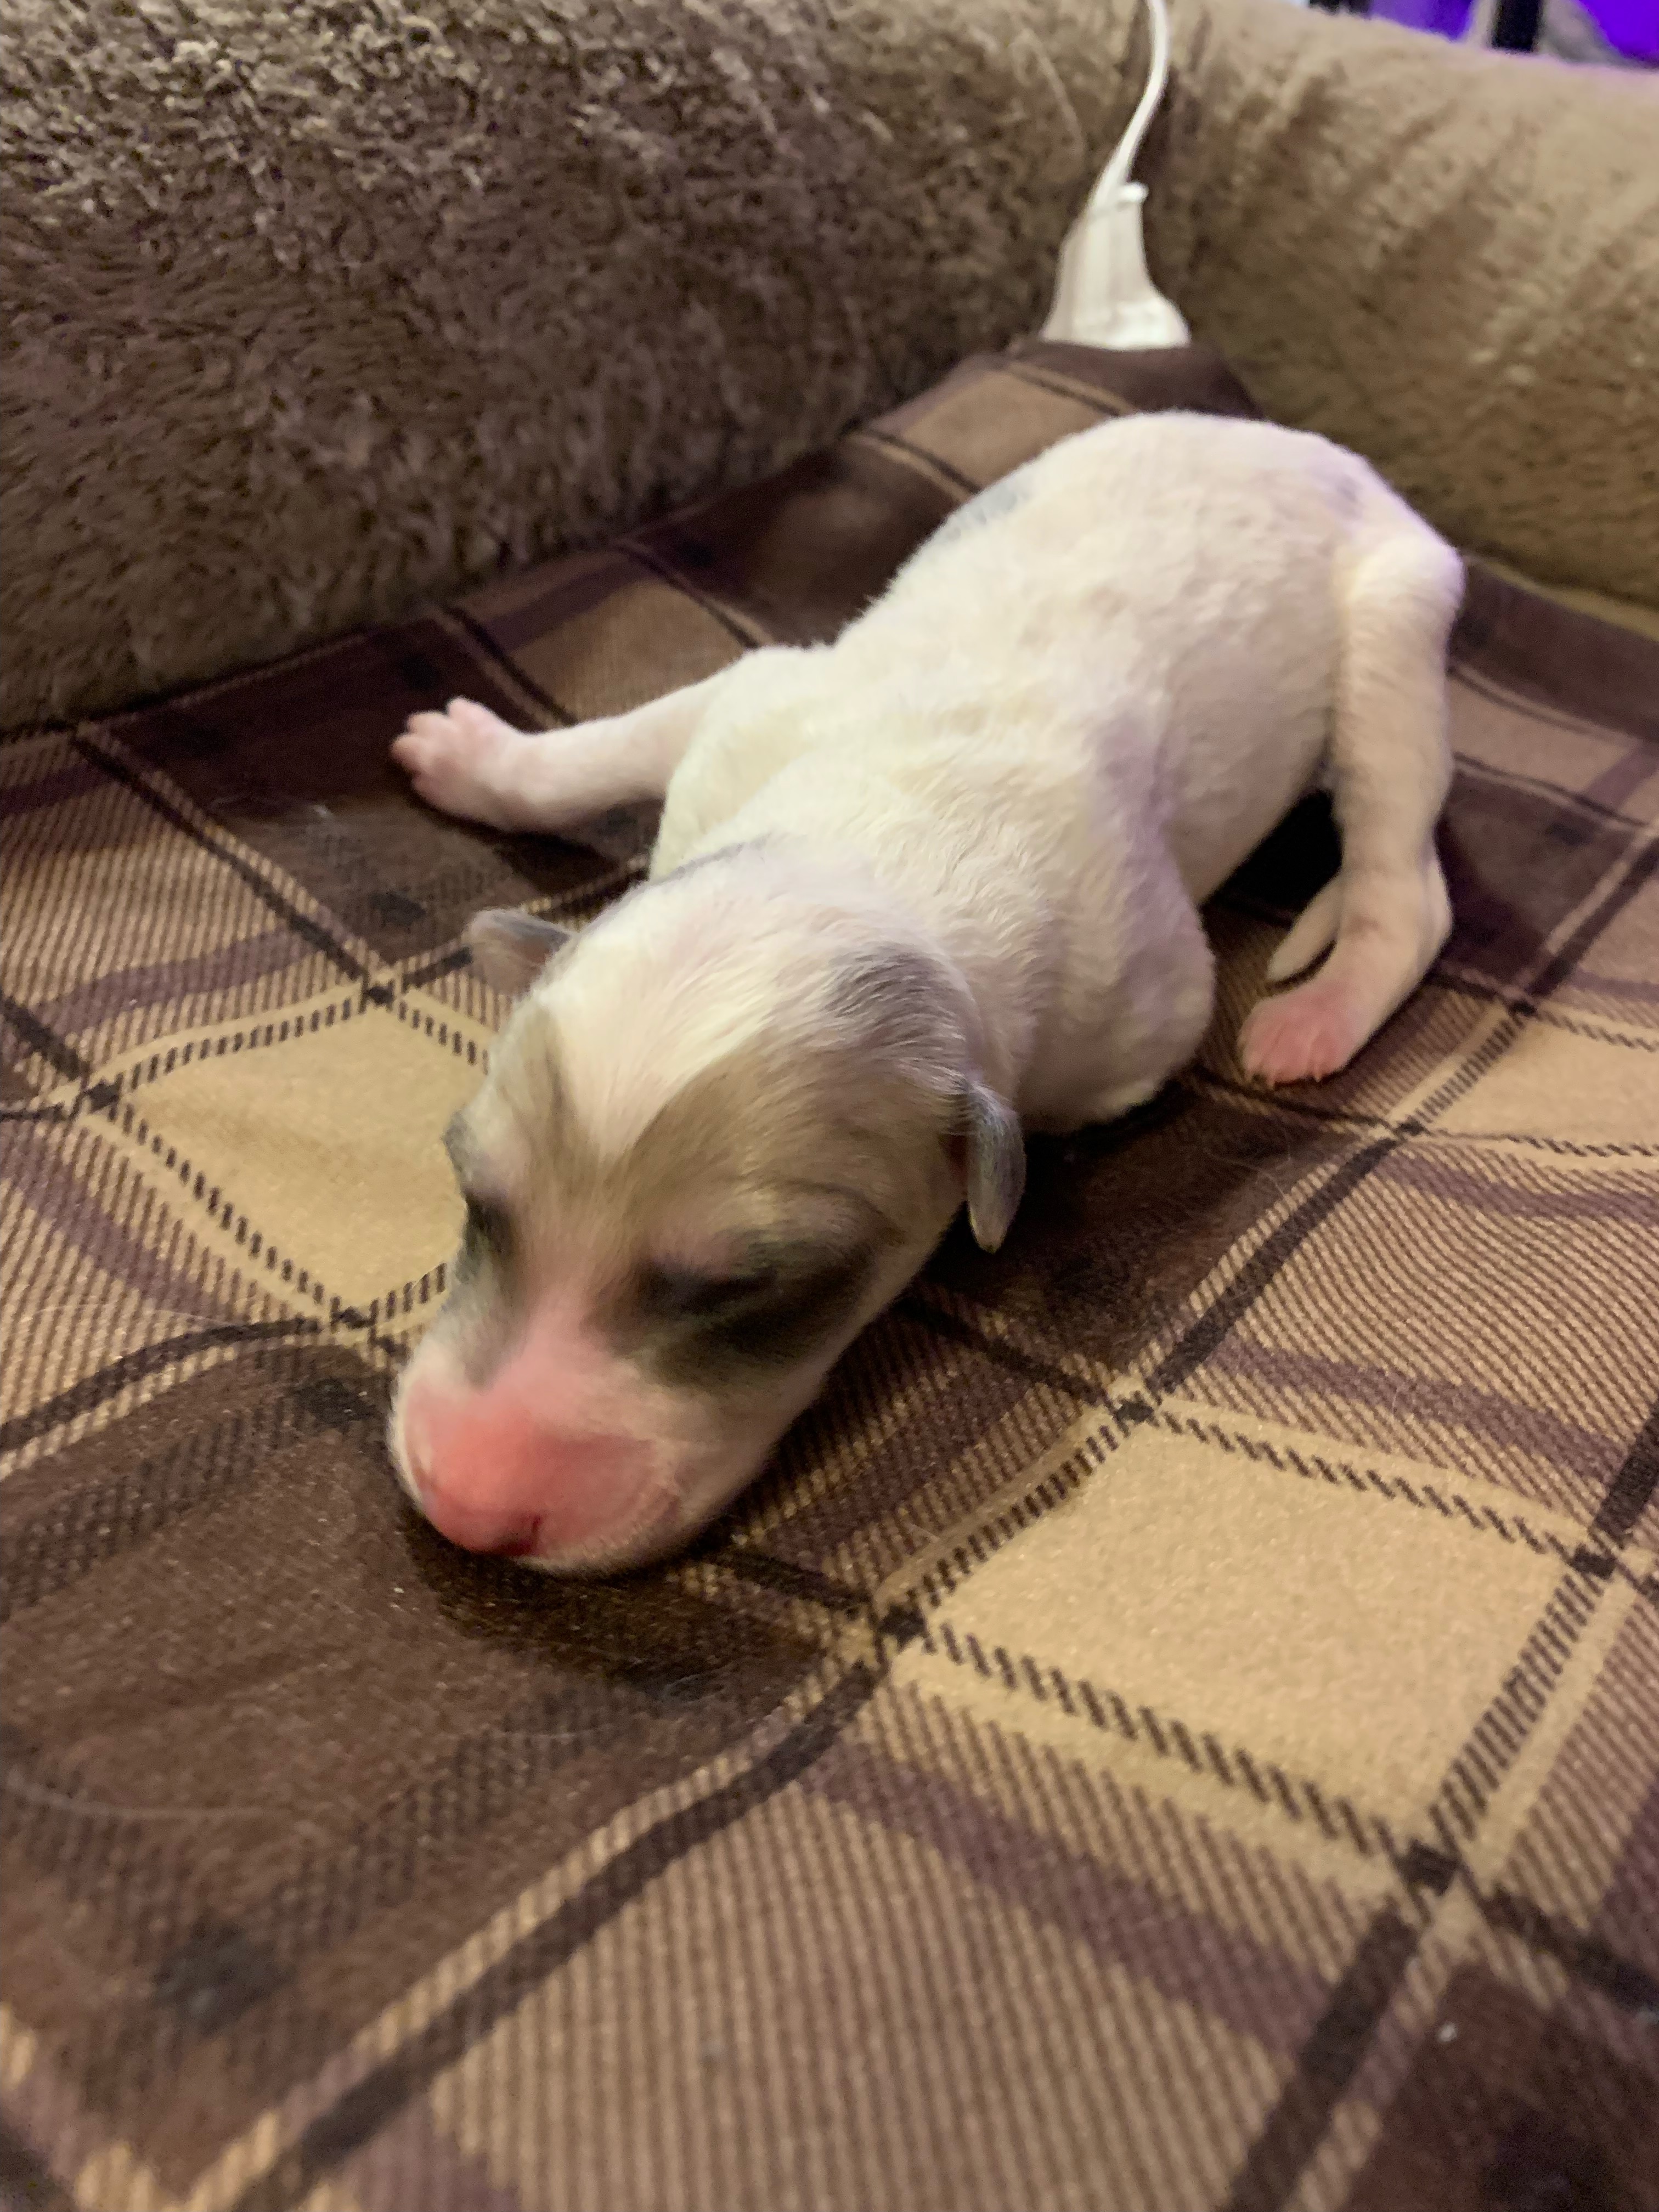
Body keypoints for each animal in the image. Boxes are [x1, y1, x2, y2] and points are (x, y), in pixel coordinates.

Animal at [387, 411, 1462, 1574]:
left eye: (754, 1290)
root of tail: (1316, 448)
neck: (871, 851)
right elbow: (605, 747)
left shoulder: (1137, 1006)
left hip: (1392, 635)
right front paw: (468, 755)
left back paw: (1316, 1015)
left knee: (1405, 883)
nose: (468, 1508)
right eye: (471, 1196)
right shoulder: (754, 704)